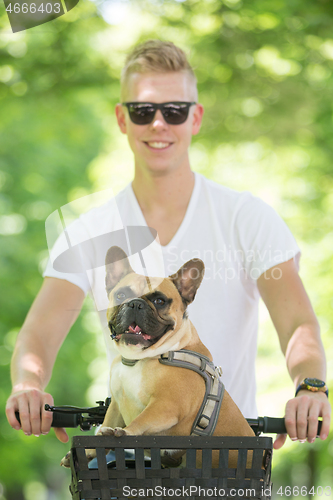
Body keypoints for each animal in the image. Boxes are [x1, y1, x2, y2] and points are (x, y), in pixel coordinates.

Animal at [59, 246, 253, 468]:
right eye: (121, 295)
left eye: (159, 301)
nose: (135, 304)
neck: (137, 360)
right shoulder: (115, 406)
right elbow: (105, 427)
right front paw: (90, 450)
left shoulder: (165, 405)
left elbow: (140, 421)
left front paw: (125, 432)